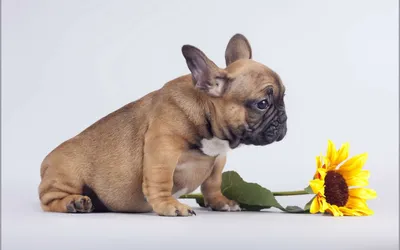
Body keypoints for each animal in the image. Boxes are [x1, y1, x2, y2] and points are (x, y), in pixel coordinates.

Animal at [38, 33, 288, 217]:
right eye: (262, 104)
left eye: (284, 96)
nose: (284, 119)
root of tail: (45, 163)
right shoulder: (163, 147)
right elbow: (161, 179)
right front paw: (170, 205)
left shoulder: (219, 159)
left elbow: (213, 183)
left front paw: (220, 202)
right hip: (67, 174)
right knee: (48, 200)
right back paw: (74, 203)